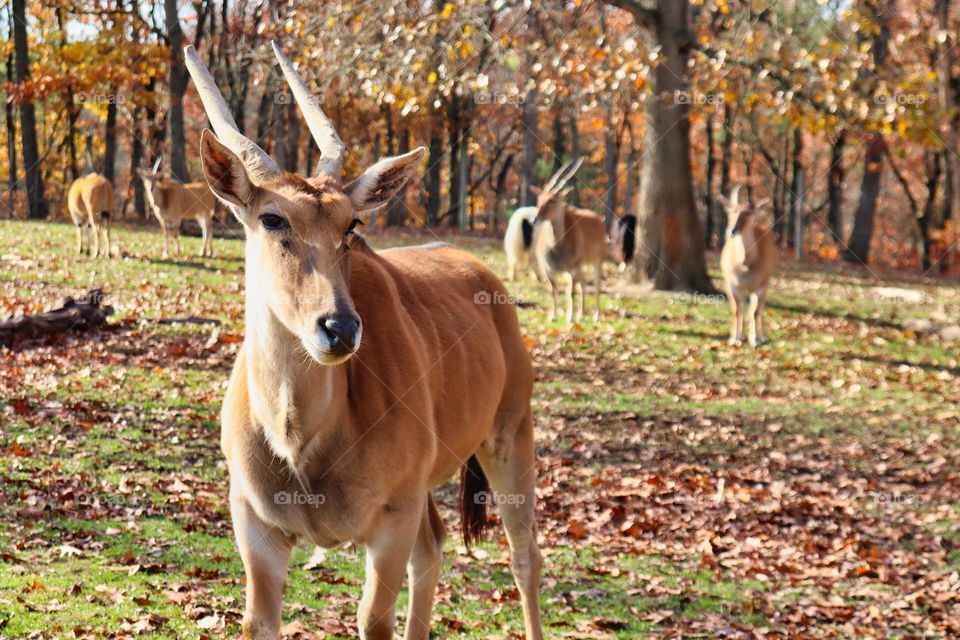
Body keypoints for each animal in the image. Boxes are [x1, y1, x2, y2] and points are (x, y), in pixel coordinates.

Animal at [184, 43, 544, 640]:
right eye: (272, 218)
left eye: (352, 225)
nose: (340, 328)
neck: (301, 441)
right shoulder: (256, 526)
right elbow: (259, 620)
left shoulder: (391, 521)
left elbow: (373, 619)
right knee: (435, 548)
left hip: (509, 437)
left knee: (523, 558)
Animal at [532, 158, 608, 322]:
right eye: (539, 199)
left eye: (552, 200)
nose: (535, 219)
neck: (556, 246)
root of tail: (599, 219)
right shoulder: (548, 269)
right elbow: (553, 290)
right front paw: (553, 316)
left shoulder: (573, 268)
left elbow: (572, 291)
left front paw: (570, 317)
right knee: (583, 282)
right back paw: (581, 314)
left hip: (597, 261)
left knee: (595, 286)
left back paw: (595, 316)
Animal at [720, 186, 780, 344]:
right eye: (730, 212)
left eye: (747, 213)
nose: (731, 231)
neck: (745, 265)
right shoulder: (731, 285)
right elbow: (736, 310)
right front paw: (734, 338)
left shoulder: (759, 286)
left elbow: (754, 311)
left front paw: (754, 340)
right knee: (743, 308)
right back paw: (741, 336)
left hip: (766, 284)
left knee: (759, 309)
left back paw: (762, 336)